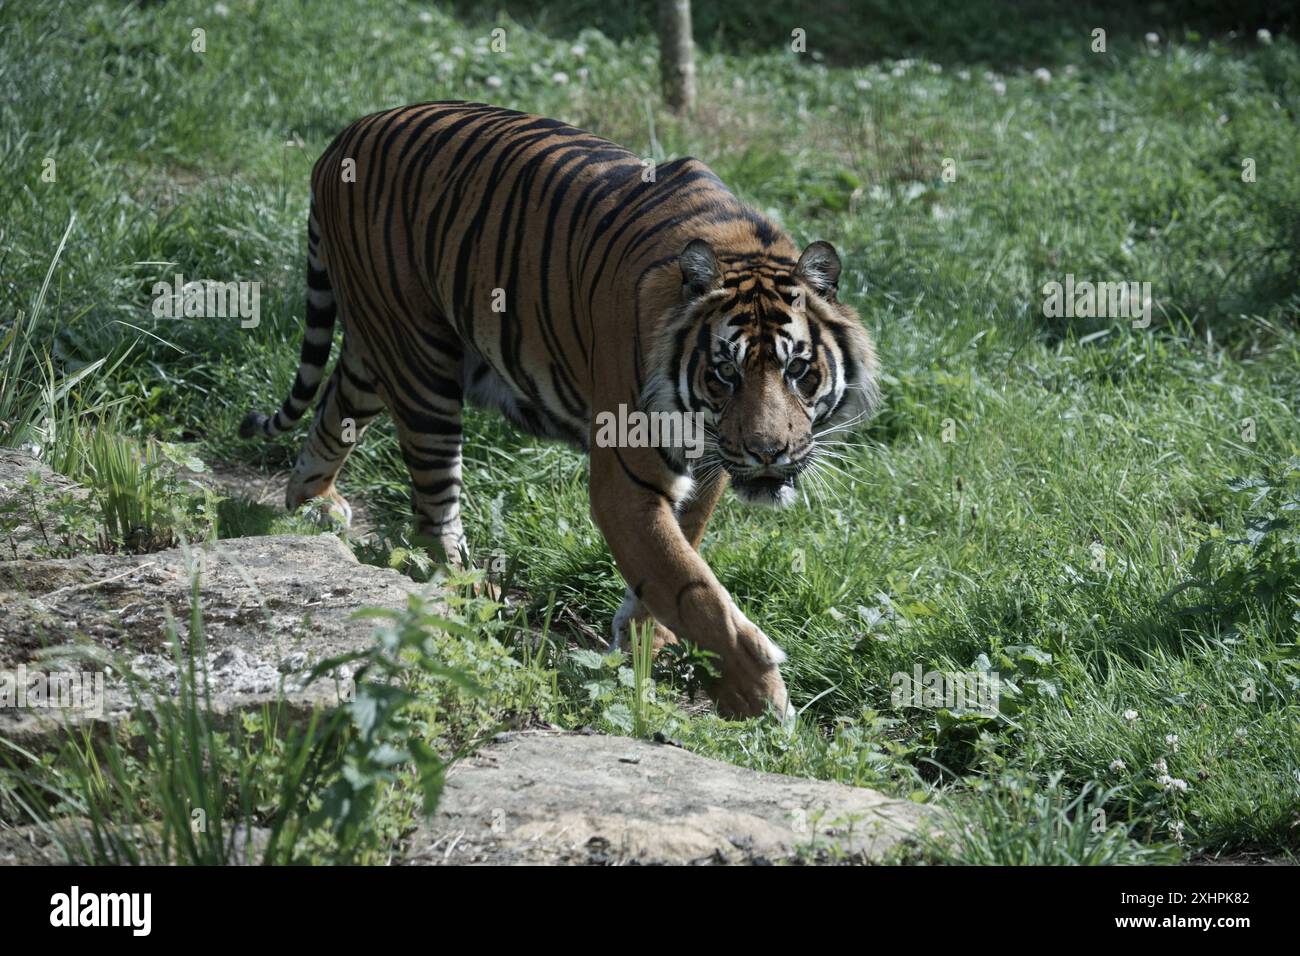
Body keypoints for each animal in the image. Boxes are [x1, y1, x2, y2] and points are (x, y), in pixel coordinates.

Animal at [239, 102, 878, 717]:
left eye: (797, 370)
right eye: (726, 373)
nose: (768, 453)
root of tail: (343, 138)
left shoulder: (710, 463)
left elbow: (678, 555)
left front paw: (647, 641)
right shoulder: (627, 480)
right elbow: (692, 586)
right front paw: (759, 696)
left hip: (380, 349)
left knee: (334, 410)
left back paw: (312, 506)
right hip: (420, 363)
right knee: (431, 510)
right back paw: (473, 596)